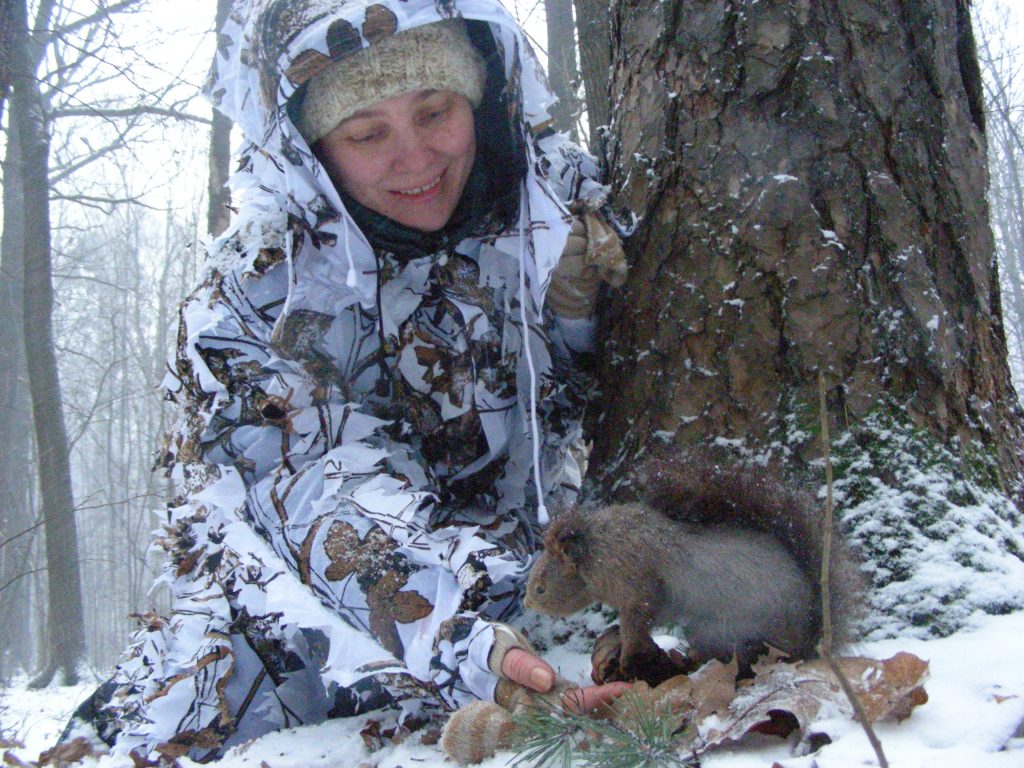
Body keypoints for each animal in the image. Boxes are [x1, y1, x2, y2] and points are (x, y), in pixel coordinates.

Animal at [520, 450, 864, 684]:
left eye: (541, 587)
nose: (527, 601)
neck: (596, 550)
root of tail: (809, 638)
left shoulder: (637, 587)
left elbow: (638, 621)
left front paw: (628, 656)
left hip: (733, 629)